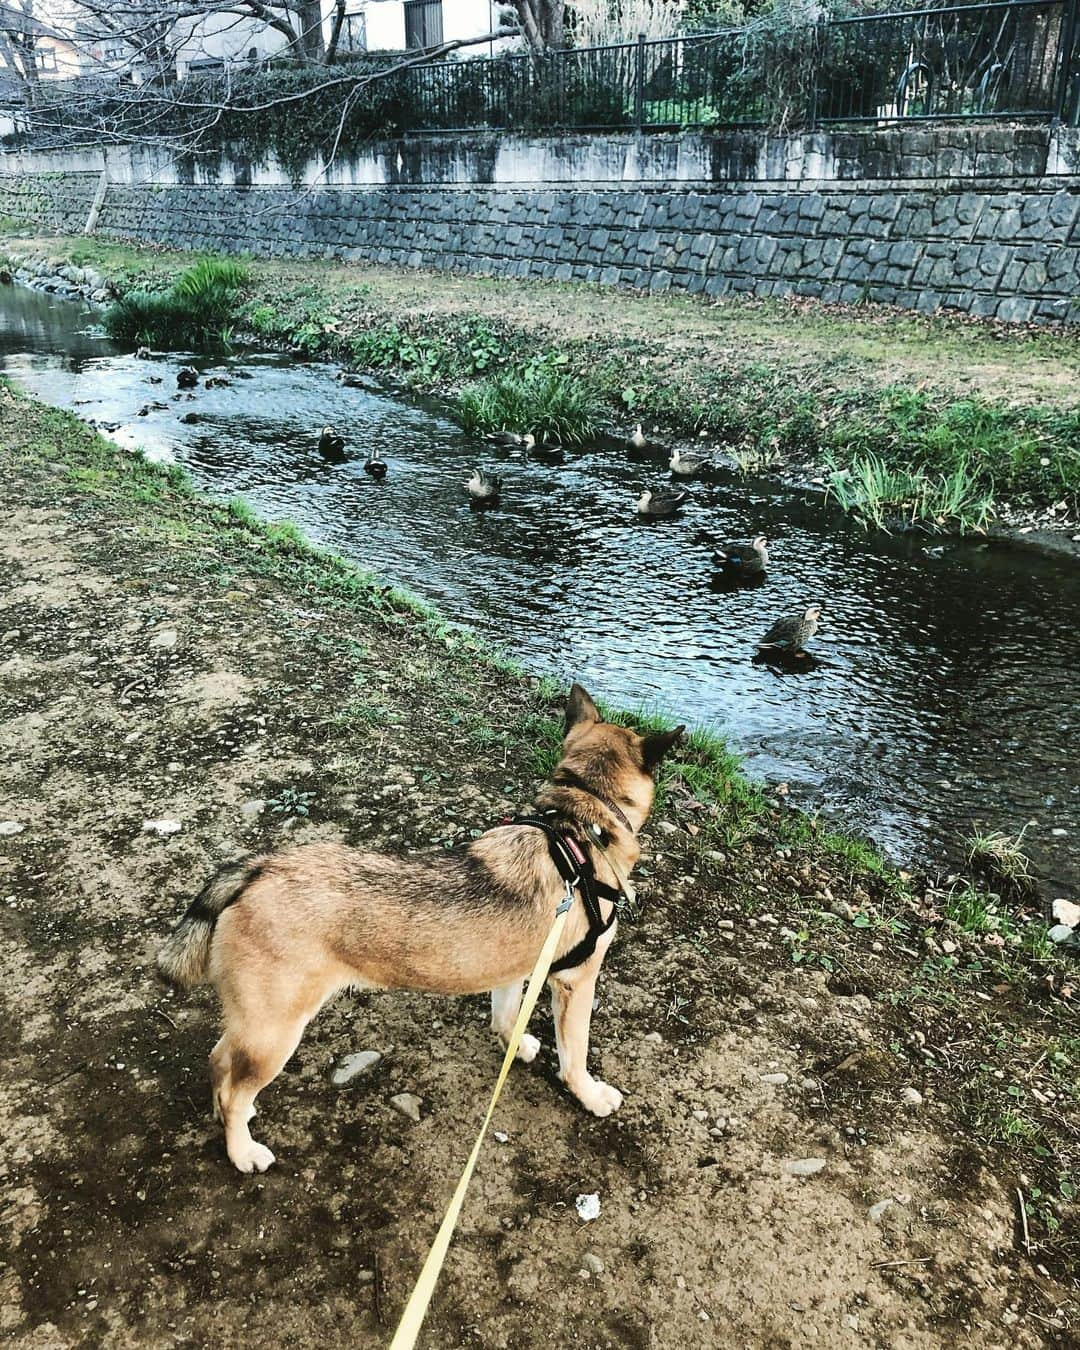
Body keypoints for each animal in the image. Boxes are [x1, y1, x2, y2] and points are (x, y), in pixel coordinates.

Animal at [157, 685, 683, 1171]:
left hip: (254, 1025)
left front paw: (516, 1042)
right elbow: (574, 1057)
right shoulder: (577, 981)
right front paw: (590, 1094)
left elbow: (506, 1015)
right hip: (274, 1032)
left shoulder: (515, 966)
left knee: (219, 1062)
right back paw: (242, 1149)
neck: (577, 826)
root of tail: (258, 869)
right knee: (234, 1089)